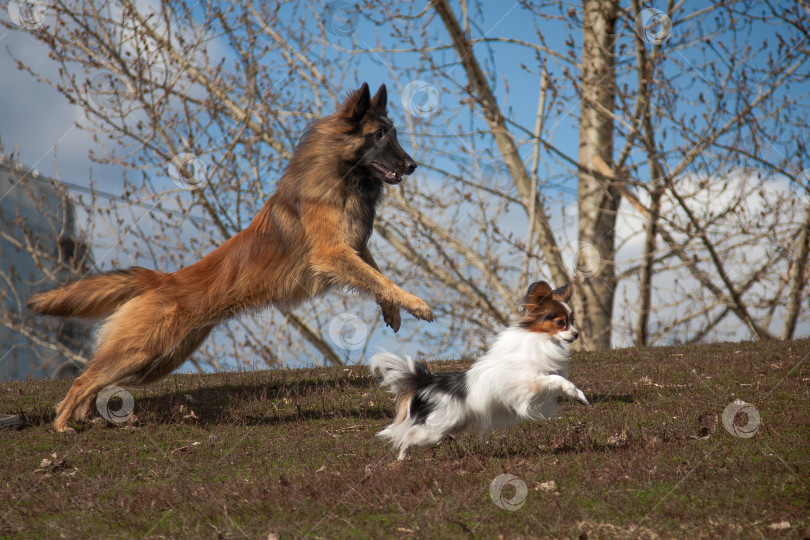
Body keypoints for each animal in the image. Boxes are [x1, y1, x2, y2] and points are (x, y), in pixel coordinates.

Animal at [28, 82, 432, 432]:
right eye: (378, 135)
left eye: (393, 134)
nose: (413, 165)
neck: (340, 172)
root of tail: (162, 280)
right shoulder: (332, 254)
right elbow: (378, 277)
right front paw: (416, 304)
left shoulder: (355, 247)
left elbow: (377, 275)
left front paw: (394, 309)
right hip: (141, 352)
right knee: (83, 379)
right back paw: (63, 423)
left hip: (155, 362)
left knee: (94, 381)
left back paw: (86, 417)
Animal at [368, 280, 588, 462]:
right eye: (560, 322)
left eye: (572, 321)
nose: (576, 334)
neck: (541, 339)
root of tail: (430, 383)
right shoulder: (530, 383)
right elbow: (557, 380)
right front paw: (577, 394)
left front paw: (578, 395)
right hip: (434, 430)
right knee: (407, 436)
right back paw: (401, 458)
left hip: (451, 425)